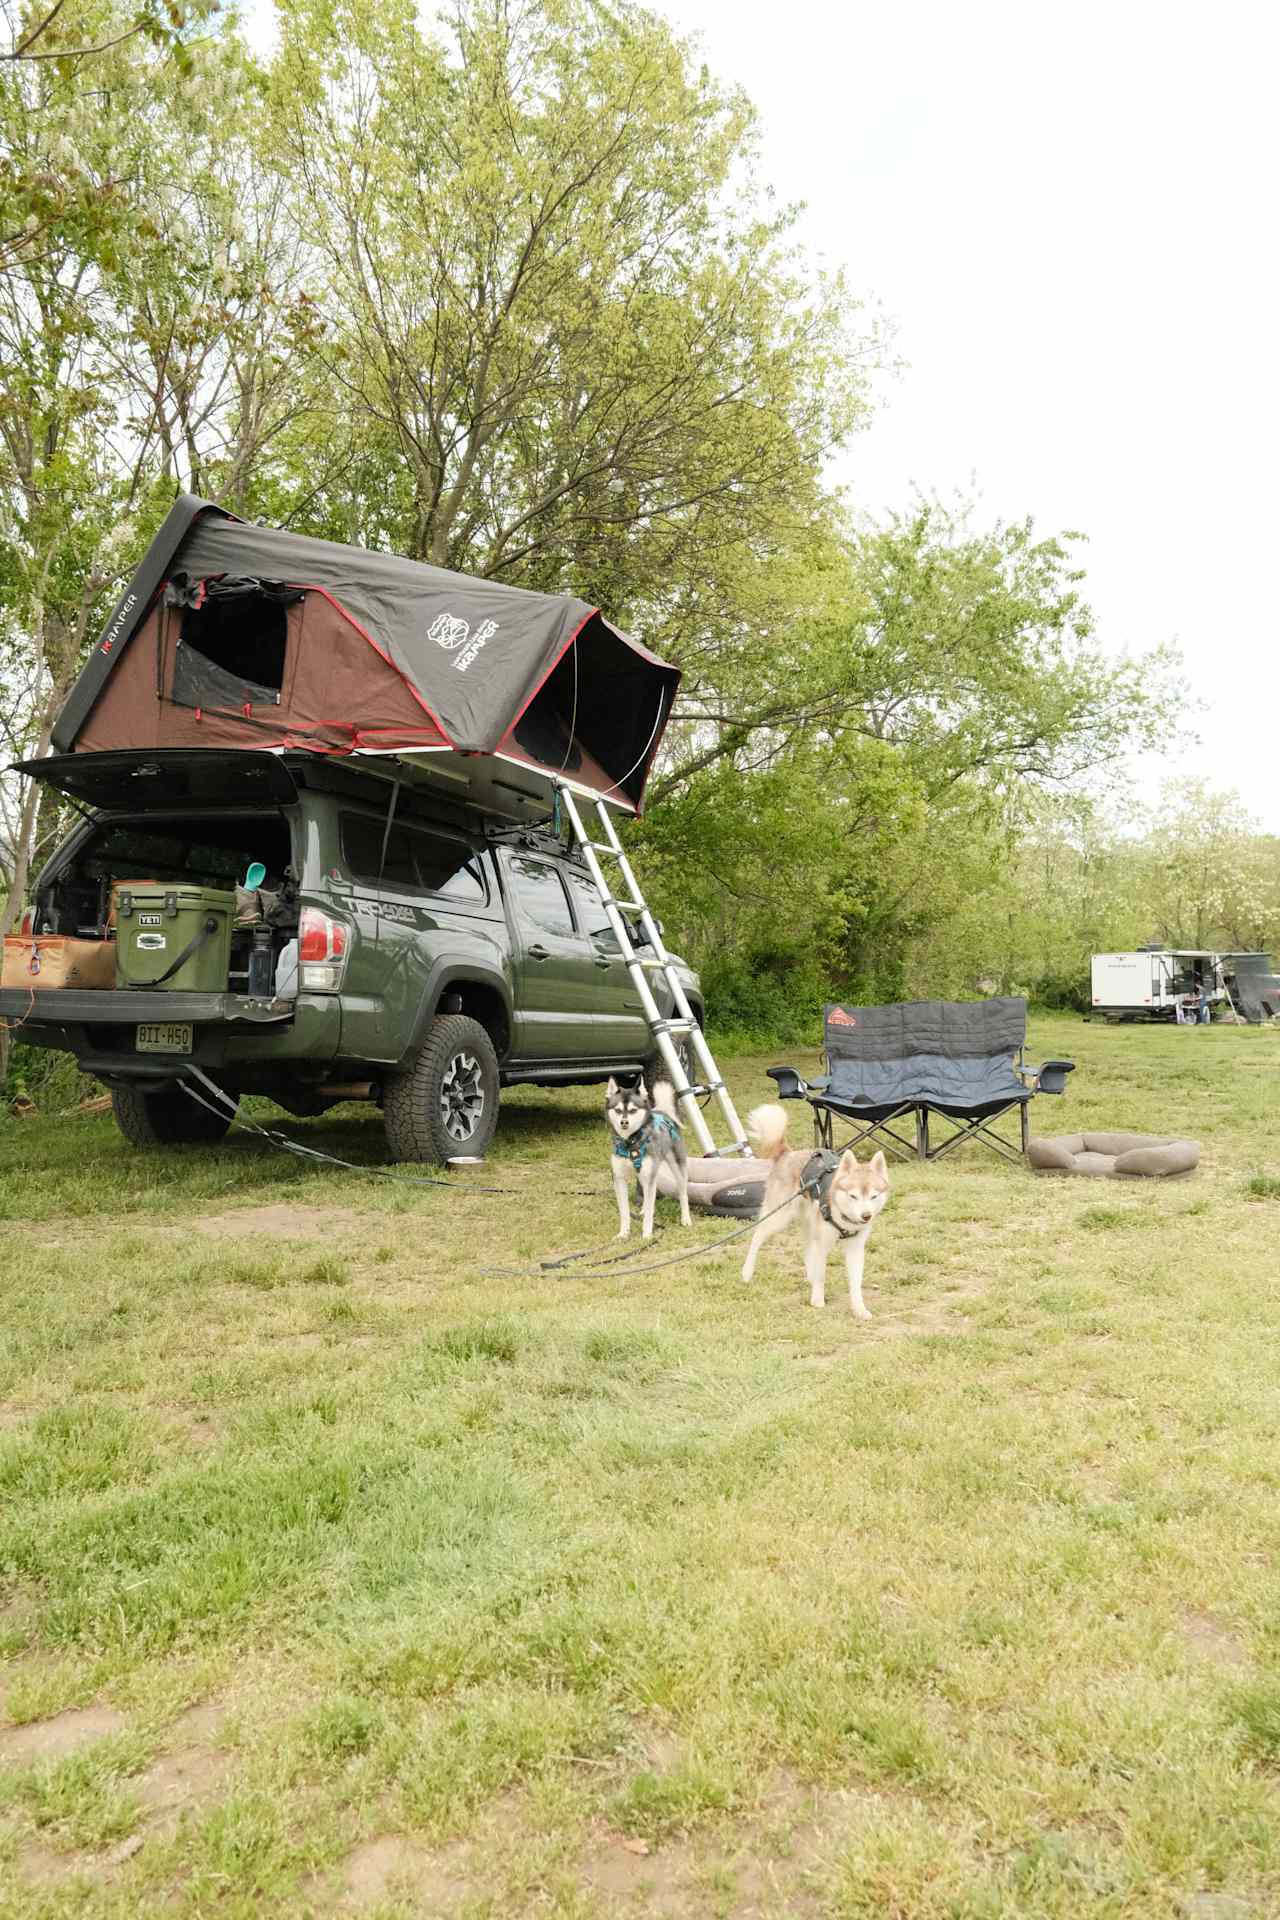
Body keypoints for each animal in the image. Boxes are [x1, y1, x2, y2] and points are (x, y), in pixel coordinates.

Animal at [610, 1075, 690, 1236]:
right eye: (618, 1110)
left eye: (633, 1110)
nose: (624, 1122)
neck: (630, 1143)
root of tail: (662, 1111)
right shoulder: (619, 1178)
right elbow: (624, 1212)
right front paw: (624, 1234)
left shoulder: (649, 1176)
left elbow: (649, 1211)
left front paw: (647, 1235)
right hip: (644, 1174)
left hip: (676, 1166)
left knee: (683, 1192)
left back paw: (686, 1219)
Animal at [740, 1105, 890, 1313]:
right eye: (853, 1196)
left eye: (873, 1196)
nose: (866, 1216)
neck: (843, 1217)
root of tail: (787, 1153)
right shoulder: (823, 1243)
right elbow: (821, 1274)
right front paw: (818, 1300)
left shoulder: (855, 1248)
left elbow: (855, 1283)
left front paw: (860, 1309)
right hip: (779, 1217)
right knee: (757, 1236)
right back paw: (747, 1273)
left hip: (809, 1222)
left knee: (806, 1248)